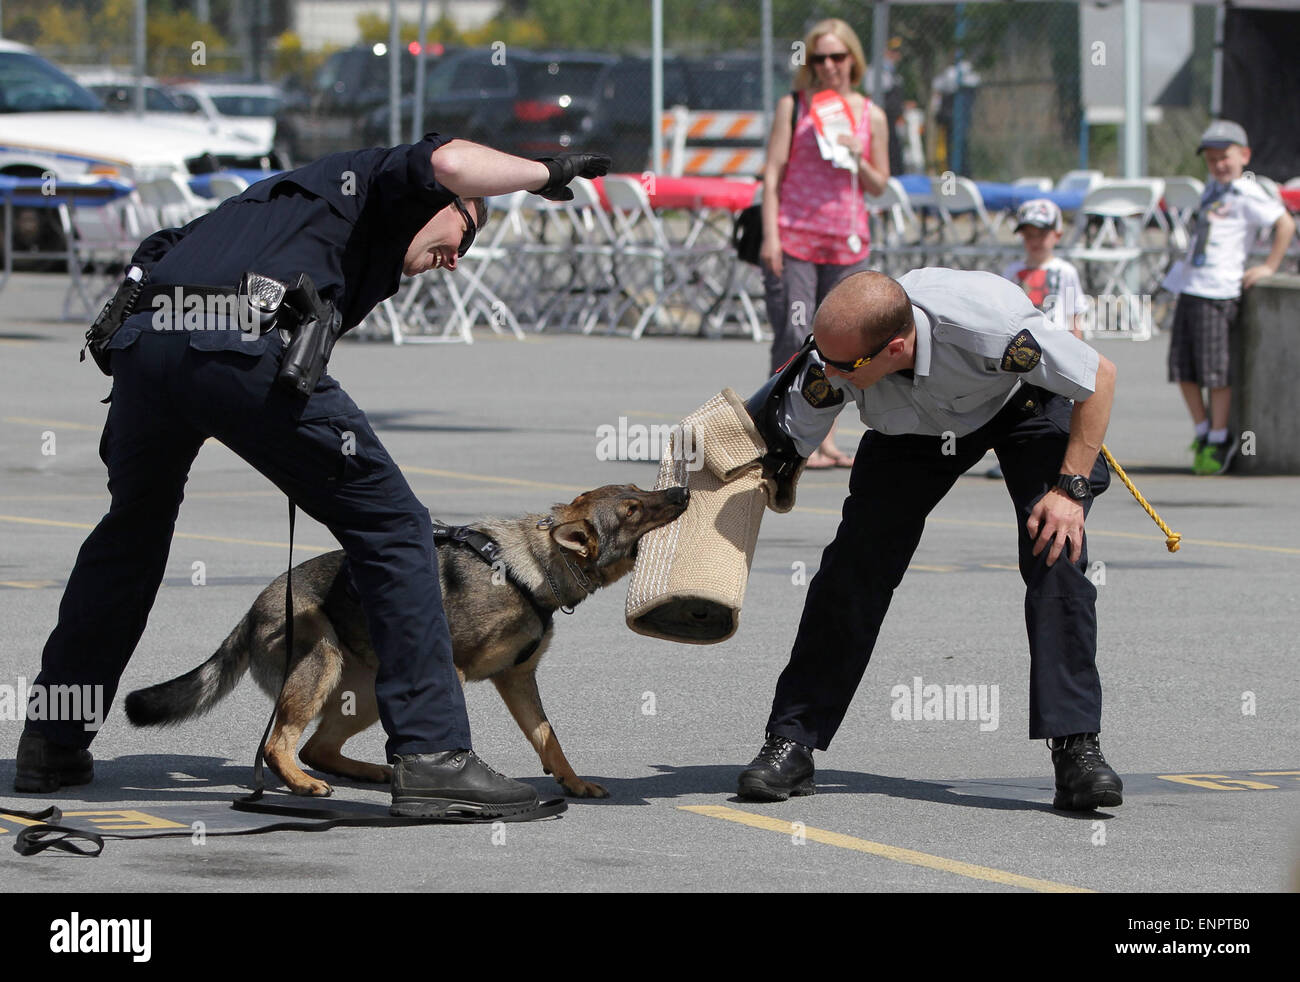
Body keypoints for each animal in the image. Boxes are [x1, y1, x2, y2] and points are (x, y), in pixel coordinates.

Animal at [122, 483, 691, 801]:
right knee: (278, 743)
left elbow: (549, 739)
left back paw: (368, 770)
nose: (682, 494)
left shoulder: (518, 680)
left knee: (316, 746)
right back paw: (303, 783)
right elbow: (460, 732)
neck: (530, 567)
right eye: (634, 508)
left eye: (640, 489)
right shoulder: (455, 672)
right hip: (321, 665)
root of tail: (253, 607)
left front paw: (572, 782)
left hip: (369, 692)